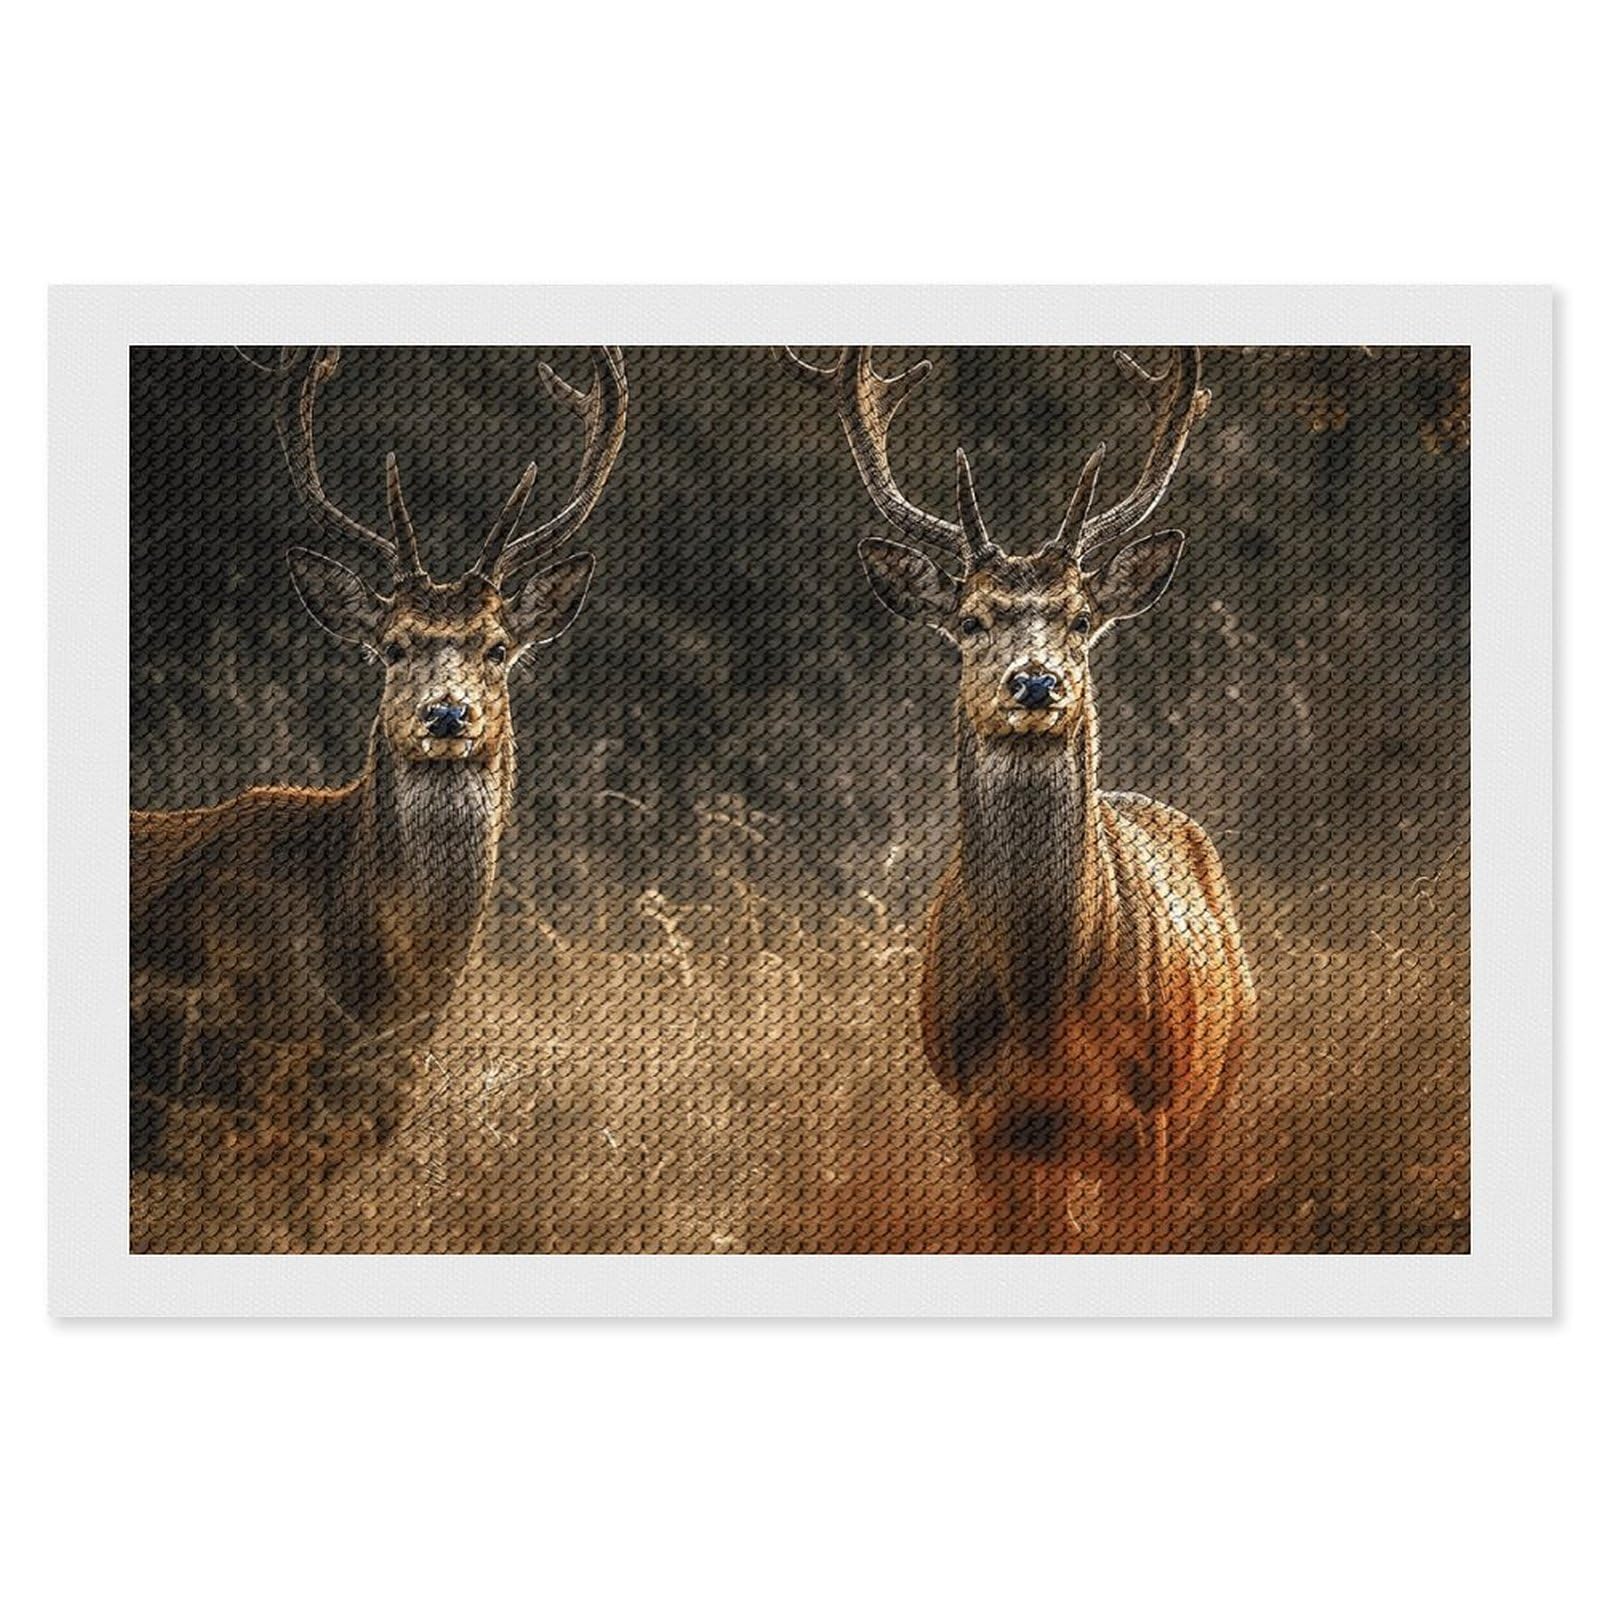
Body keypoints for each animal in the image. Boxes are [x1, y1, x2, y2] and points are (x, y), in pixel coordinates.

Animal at [784, 346, 1256, 1251]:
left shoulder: (1150, 1114)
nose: (1035, 683)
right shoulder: (989, 1121)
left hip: (1217, 1088)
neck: (1044, 1004)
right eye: (970, 620)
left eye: (1080, 619)